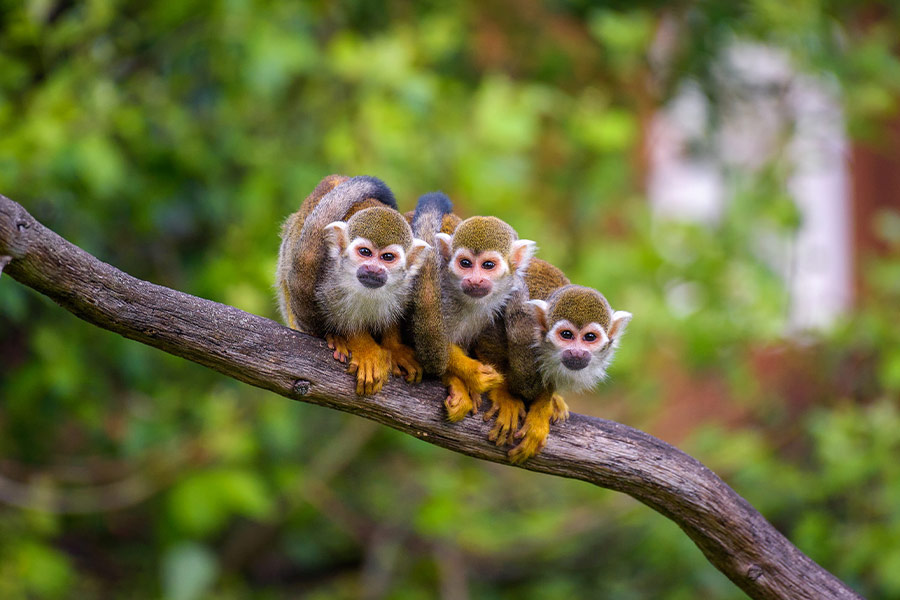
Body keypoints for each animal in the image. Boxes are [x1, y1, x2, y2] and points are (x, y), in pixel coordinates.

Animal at [276, 175, 430, 396]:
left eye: (388, 257)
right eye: (365, 252)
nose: (373, 269)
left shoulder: (408, 284)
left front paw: (394, 347)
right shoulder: (328, 280)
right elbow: (340, 318)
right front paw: (364, 348)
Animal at [475, 258, 632, 462]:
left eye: (590, 337)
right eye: (566, 335)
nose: (576, 352)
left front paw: (543, 407)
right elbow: (488, 337)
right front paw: (504, 394)